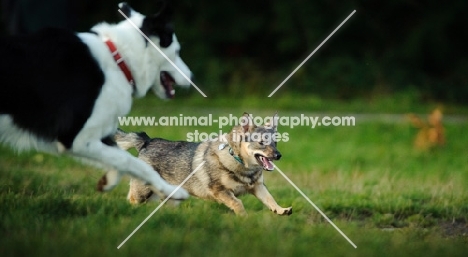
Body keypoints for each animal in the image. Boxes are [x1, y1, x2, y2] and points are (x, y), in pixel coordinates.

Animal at [0, 2, 192, 200]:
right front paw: (170, 190)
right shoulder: (77, 139)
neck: (120, 59)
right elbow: (131, 161)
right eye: (177, 51)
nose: (191, 77)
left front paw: (108, 181)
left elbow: (120, 158)